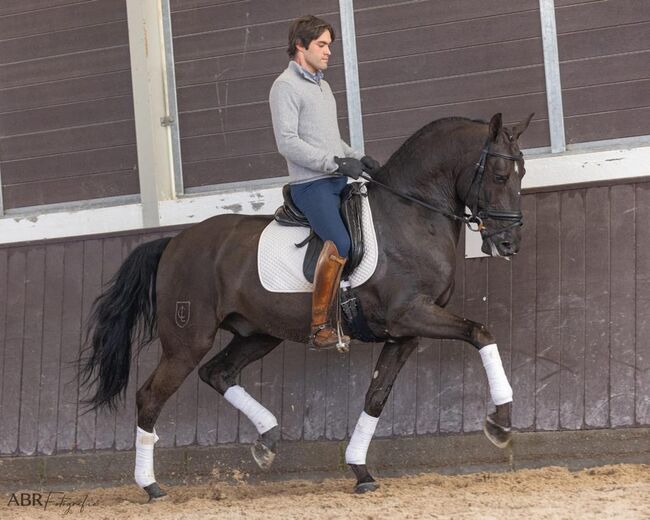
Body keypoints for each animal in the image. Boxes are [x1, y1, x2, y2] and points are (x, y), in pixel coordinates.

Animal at [79, 112, 532, 500]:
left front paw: (360, 472)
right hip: (187, 341)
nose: (509, 243)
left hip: (259, 334)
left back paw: (266, 441)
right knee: (150, 396)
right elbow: (481, 332)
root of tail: (173, 242)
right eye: (499, 174)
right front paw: (500, 423)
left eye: (522, 173)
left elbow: (376, 397)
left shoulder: (405, 332)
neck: (411, 213)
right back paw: (151, 486)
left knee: (218, 373)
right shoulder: (412, 314)